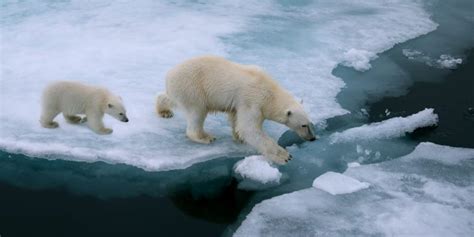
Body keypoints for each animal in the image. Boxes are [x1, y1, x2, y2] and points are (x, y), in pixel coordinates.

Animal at [157, 55, 316, 164]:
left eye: (310, 123)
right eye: (304, 125)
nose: (313, 138)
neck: (270, 91)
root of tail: (169, 75)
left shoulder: (241, 103)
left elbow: (237, 119)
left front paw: (239, 137)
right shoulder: (253, 100)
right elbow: (249, 128)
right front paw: (284, 156)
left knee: (171, 98)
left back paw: (164, 110)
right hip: (192, 88)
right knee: (197, 112)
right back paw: (206, 137)